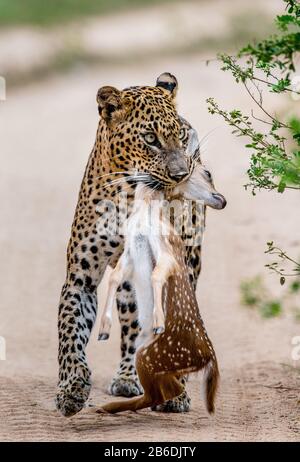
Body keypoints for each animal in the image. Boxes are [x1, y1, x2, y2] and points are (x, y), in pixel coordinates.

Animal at [55, 73, 205, 418]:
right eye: (150, 138)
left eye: (180, 135)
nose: (181, 174)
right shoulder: (81, 278)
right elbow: (69, 333)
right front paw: (70, 389)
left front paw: (176, 392)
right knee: (134, 325)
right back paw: (127, 376)